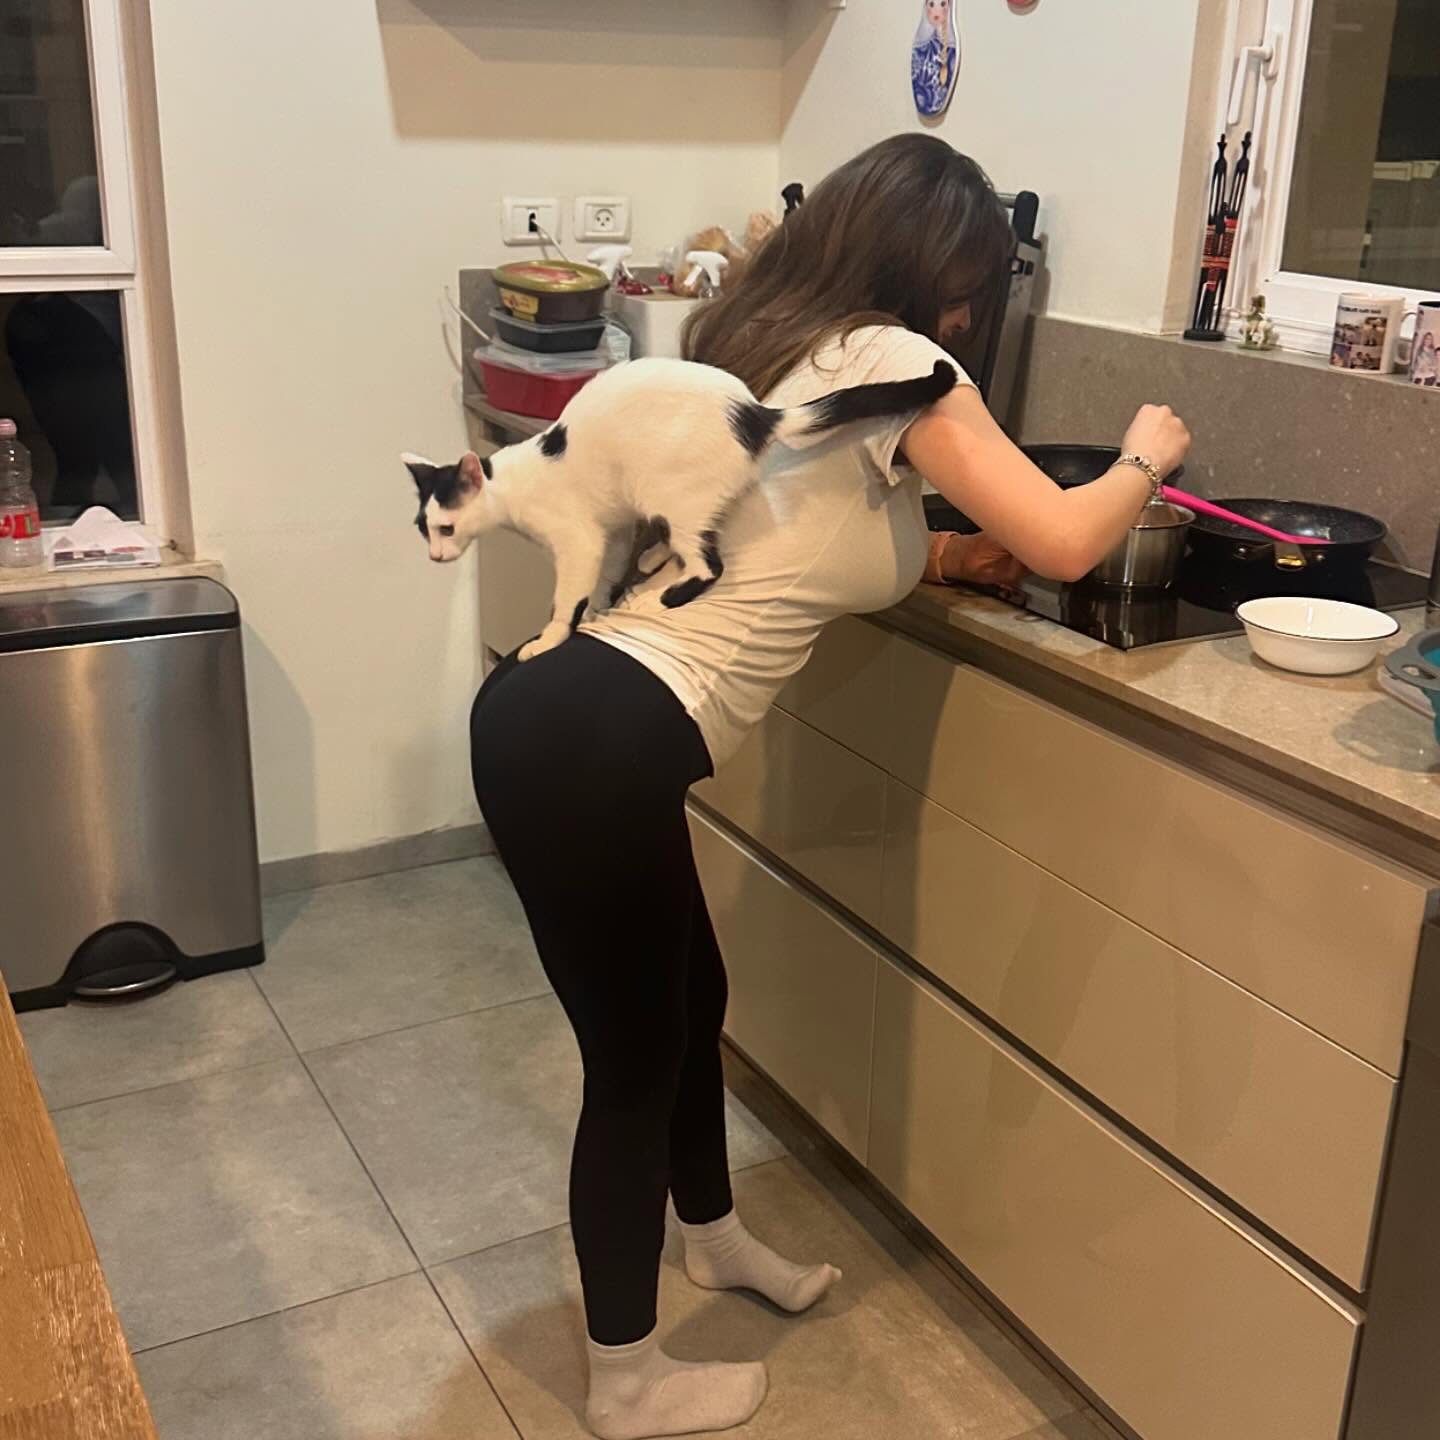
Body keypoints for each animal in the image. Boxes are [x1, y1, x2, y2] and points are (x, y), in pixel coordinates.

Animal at [404, 355, 956, 662]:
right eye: (424, 530)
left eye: (446, 529)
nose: (434, 557)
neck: (513, 486)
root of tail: (756, 415)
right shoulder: (613, 531)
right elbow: (606, 573)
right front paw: (600, 605)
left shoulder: (578, 541)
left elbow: (568, 597)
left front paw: (552, 637)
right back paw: (653, 559)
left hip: (673, 493)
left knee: (709, 563)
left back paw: (670, 593)